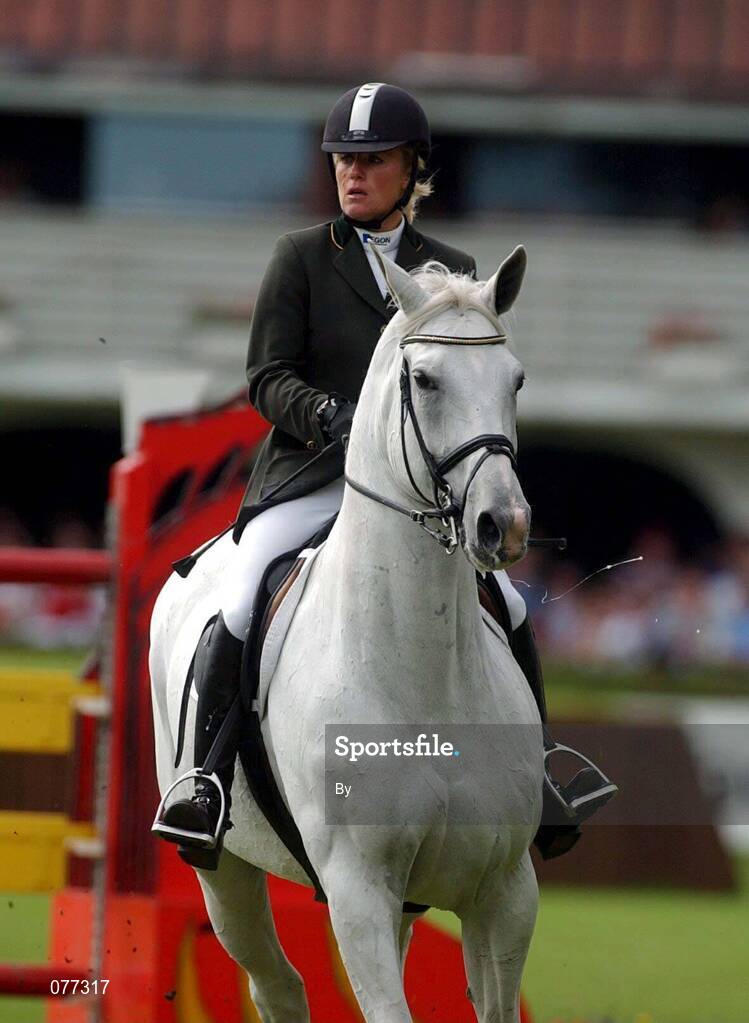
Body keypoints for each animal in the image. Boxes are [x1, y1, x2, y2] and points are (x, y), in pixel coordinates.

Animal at [150, 244, 543, 1023]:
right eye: (423, 379)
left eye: (514, 380)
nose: (502, 526)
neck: (425, 675)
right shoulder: (359, 893)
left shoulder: (504, 890)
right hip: (224, 872)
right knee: (277, 985)